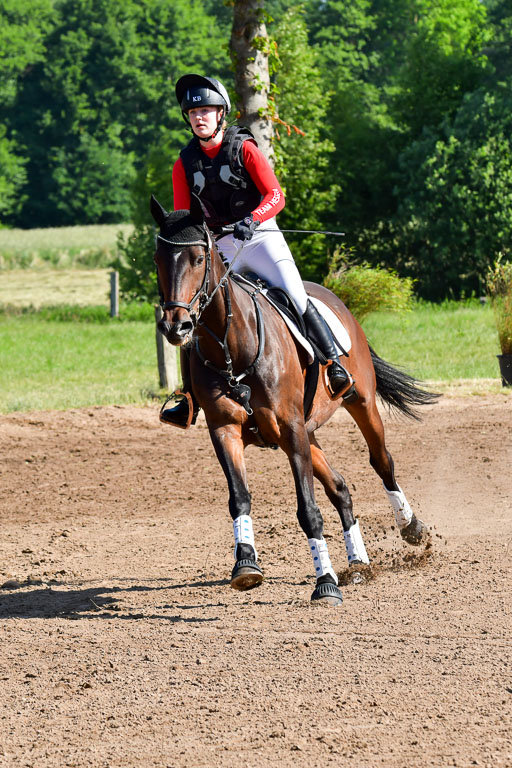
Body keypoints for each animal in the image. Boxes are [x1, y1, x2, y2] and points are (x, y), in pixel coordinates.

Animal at [151, 195, 438, 606]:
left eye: (199, 258)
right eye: (158, 258)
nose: (177, 326)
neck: (232, 345)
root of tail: (335, 299)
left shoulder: (289, 429)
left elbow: (308, 510)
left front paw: (326, 583)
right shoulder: (226, 429)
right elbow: (239, 497)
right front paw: (246, 564)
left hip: (357, 404)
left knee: (381, 461)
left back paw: (410, 527)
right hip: (309, 432)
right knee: (340, 488)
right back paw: (359, 563)